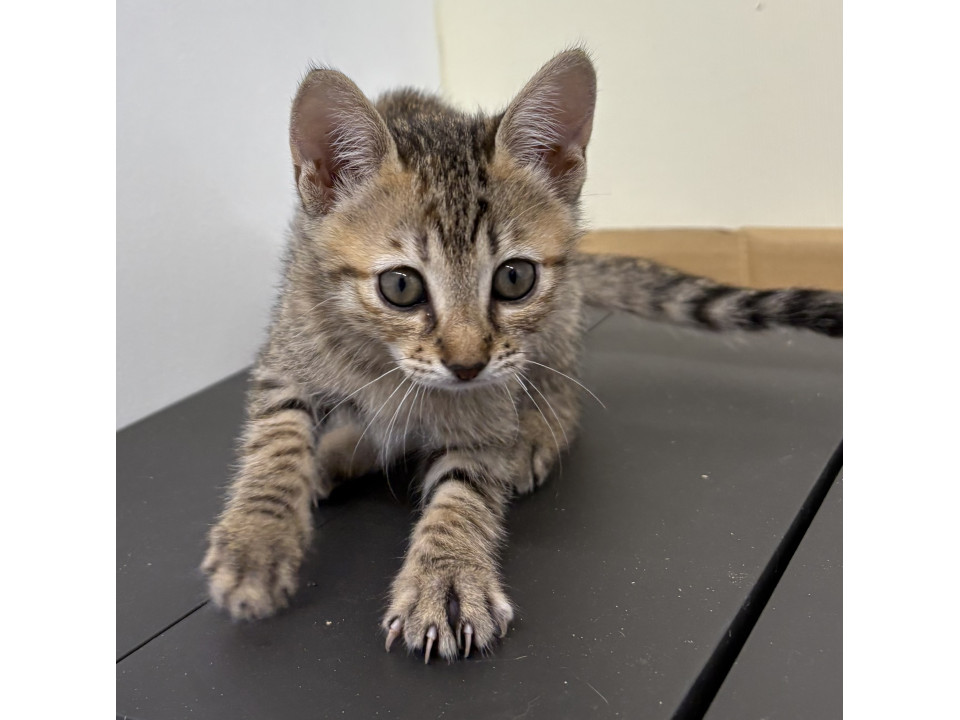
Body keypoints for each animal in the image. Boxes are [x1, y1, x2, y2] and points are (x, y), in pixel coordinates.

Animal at [201, 49, 842, 664]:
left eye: (514, 278)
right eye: (400, 287)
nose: (466, 364)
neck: (388, 365)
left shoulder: (489, 405)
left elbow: (465, 486)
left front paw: (448, 580)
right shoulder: (287, 353)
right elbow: (275, 443)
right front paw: (256, 540)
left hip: (557, 328)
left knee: (561, 395)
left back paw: (527, 436)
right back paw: (337, 453)